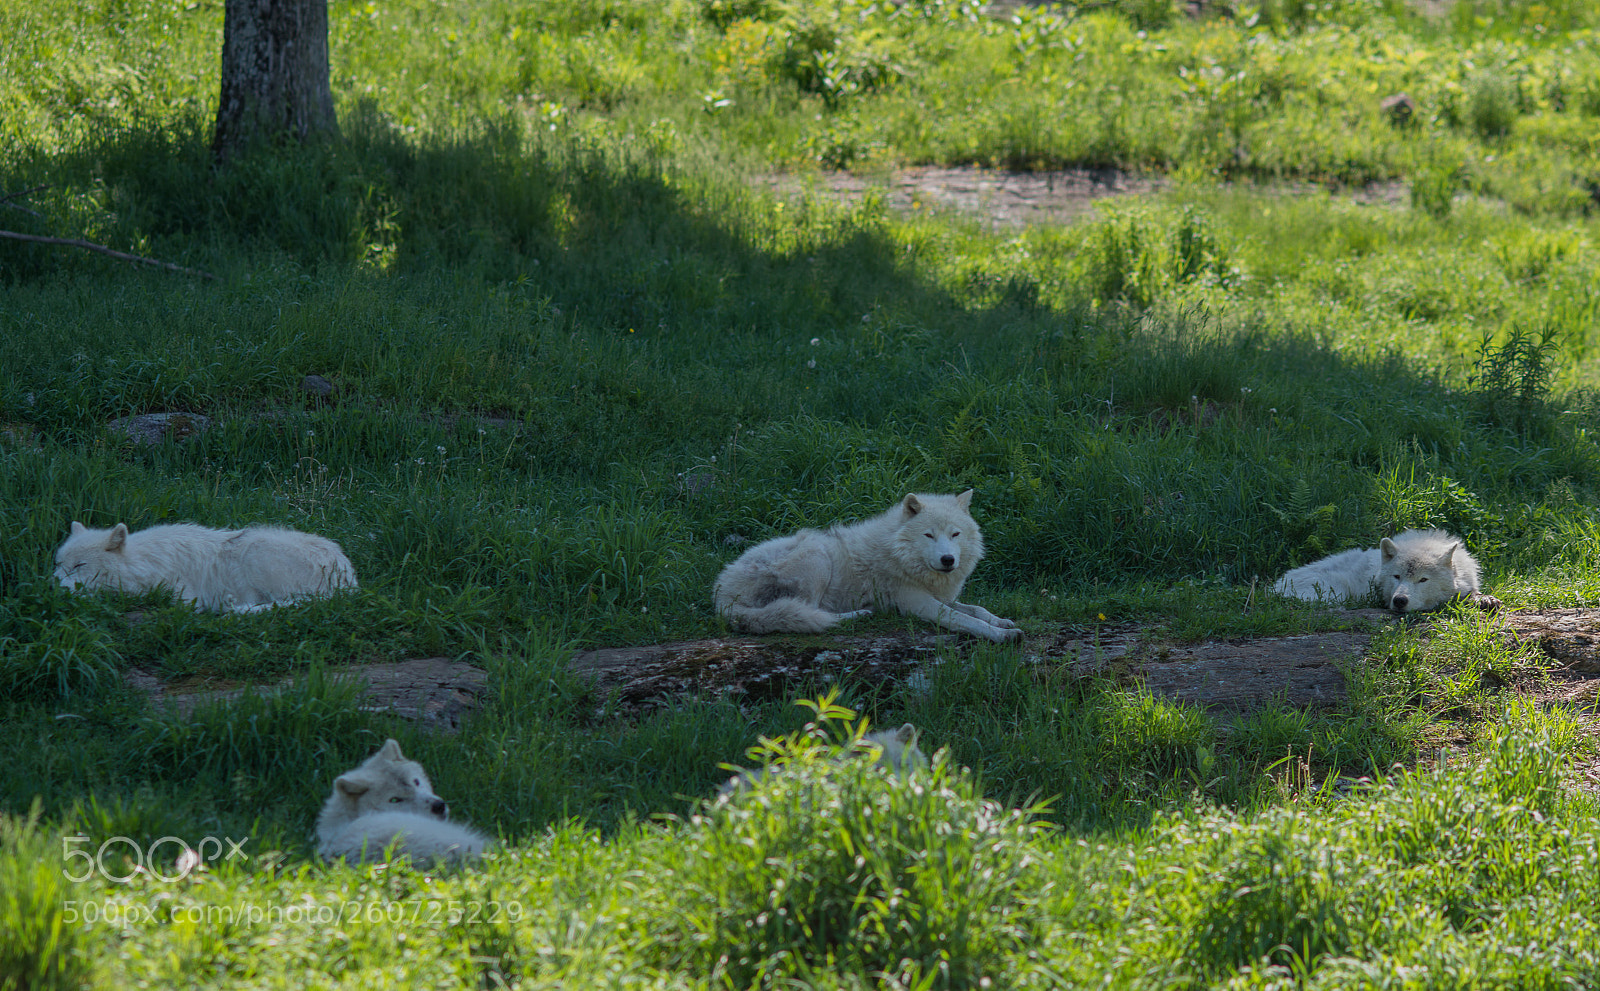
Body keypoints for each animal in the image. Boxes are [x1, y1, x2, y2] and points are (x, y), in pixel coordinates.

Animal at [54, 521, 357, 613]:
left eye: (79, 565)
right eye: (58, 565)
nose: (54, 586)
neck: (144, 562)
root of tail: (349, 580)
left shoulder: (183, 597)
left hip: (255, 548)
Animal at [713, 490, 1021, 642]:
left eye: (955, 534)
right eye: (929, 535)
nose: (948, 560)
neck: (899, 553)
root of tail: (721, 593)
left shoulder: (936, 596)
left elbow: (977, 610)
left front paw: (1001, 621)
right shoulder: (919, 604)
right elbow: (967, 620)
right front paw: (1002, 636)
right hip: (816, 555)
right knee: (806, 613)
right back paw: (860, 614)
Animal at [1273, 528, 1500, 613]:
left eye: (1423, 580)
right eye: (1396, 576)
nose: (1399, 600)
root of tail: (1272, 589)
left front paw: (1484, 599)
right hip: (1335, 591)